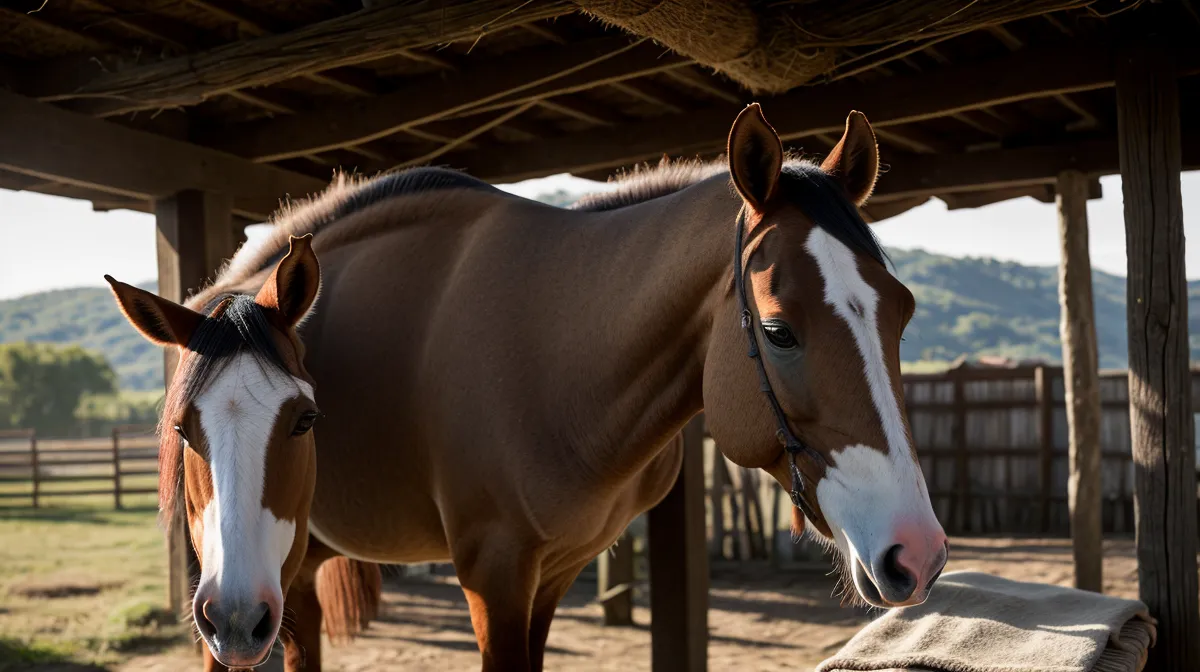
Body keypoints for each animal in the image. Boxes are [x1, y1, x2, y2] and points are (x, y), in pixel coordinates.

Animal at [106, 103, 947, 671]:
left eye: (903, 313)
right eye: (778, 331)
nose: (918, 552)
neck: (558, 353)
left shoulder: (555, 574)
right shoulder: (495, 574)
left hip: (293, 564)